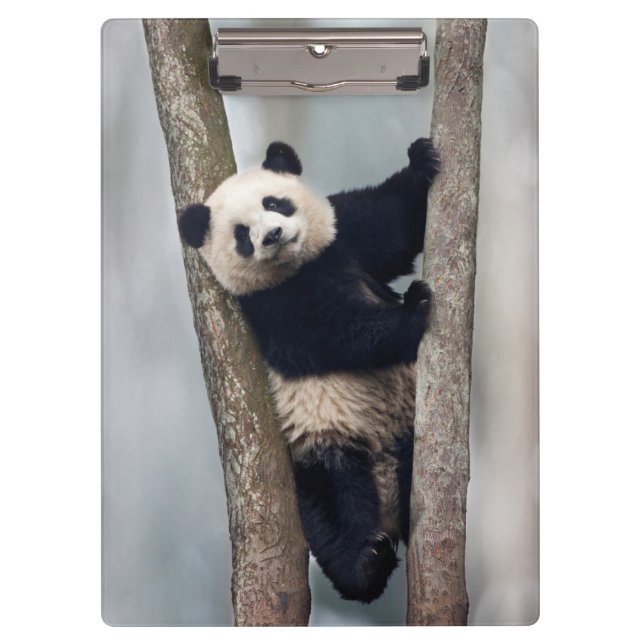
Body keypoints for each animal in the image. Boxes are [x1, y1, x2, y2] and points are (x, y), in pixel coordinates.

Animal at [179, 139, 439, 603]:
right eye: (241, 234)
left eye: (274, 203)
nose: (272, 235)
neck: (300, 267)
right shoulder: (271, 307)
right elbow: (335, 335)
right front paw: (414, 310)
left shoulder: (343, 238)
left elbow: (391, 223)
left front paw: (421, 160)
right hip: (322, 446)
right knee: (333, 509)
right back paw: (366, 563)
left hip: (408, 424)